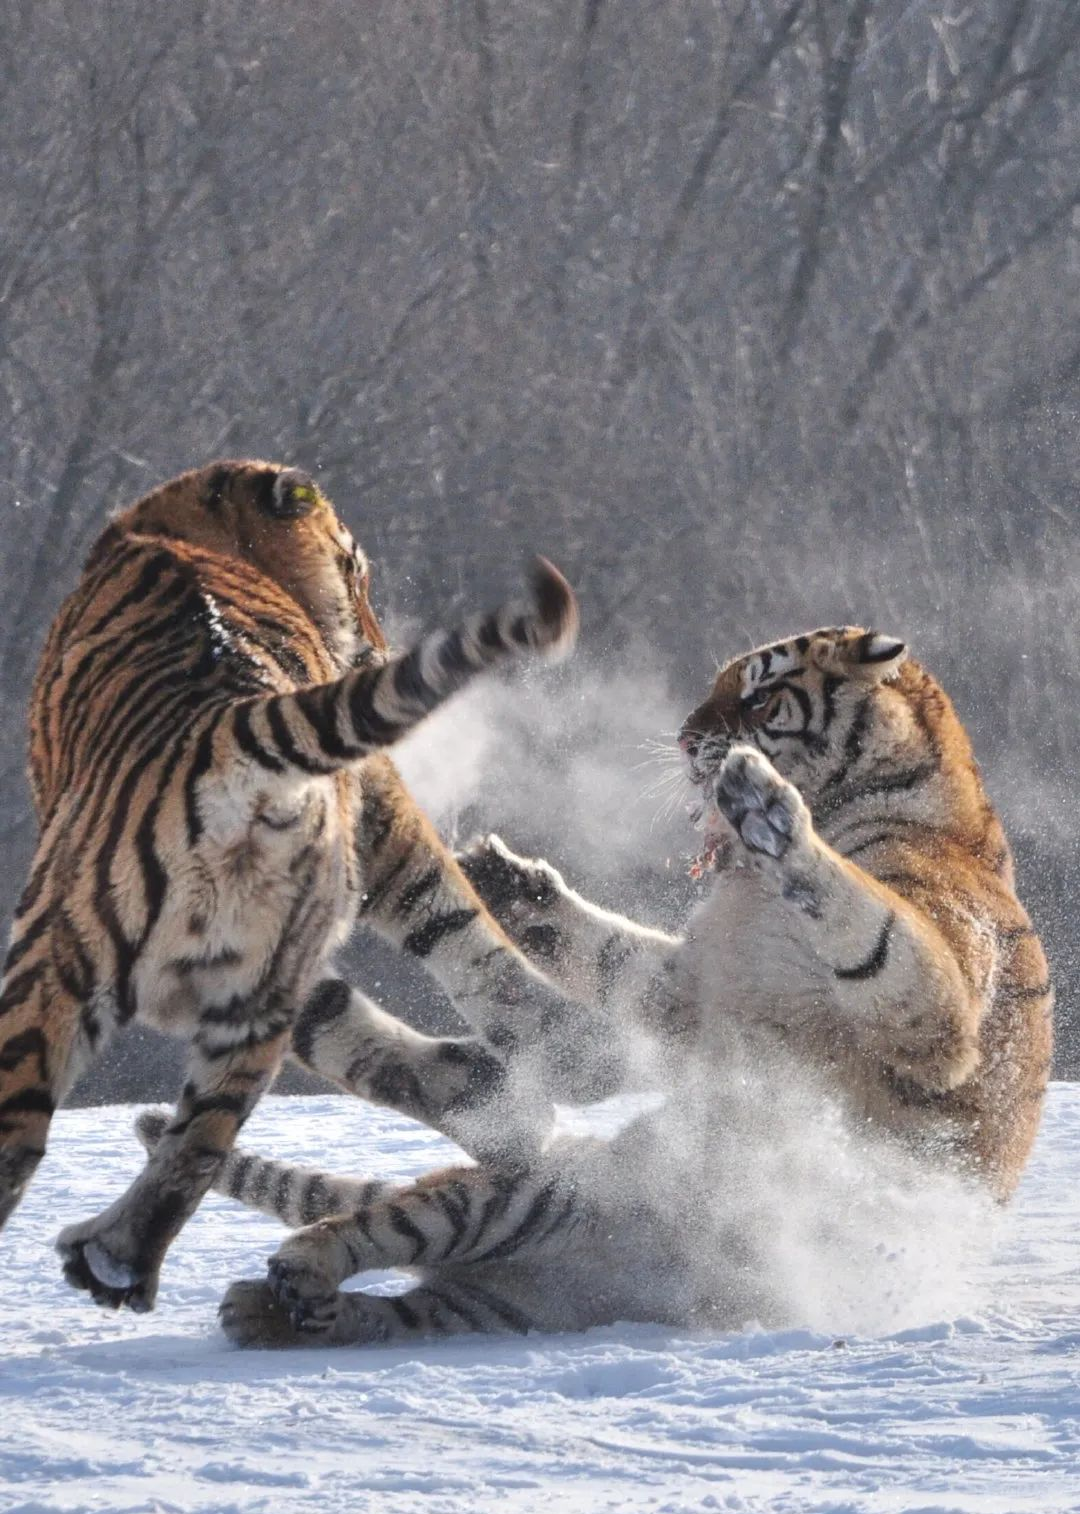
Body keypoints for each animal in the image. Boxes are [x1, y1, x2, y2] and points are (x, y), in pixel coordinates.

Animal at [0, 457, 610, 1315]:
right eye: (358, 573)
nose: (377, 646)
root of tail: (231, 726)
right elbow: (369, 997)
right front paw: (489, 1087)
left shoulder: (378, 803)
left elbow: (442, 916)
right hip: (243, 997)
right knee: (195, 1142)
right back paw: (118, 1264)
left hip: (51, 960)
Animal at [181, 625, 1052, 1348]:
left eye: (761, 694)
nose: (688, 739)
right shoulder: (690, 990)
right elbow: (607, 954)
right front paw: (504, 876)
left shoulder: (935, 1014)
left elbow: (860, 917)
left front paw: (765, 805)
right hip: (516, 1211)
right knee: (410, 1211)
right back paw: (271, 1294)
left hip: (527, 1210)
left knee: (427, 1195)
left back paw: (284, 1278)